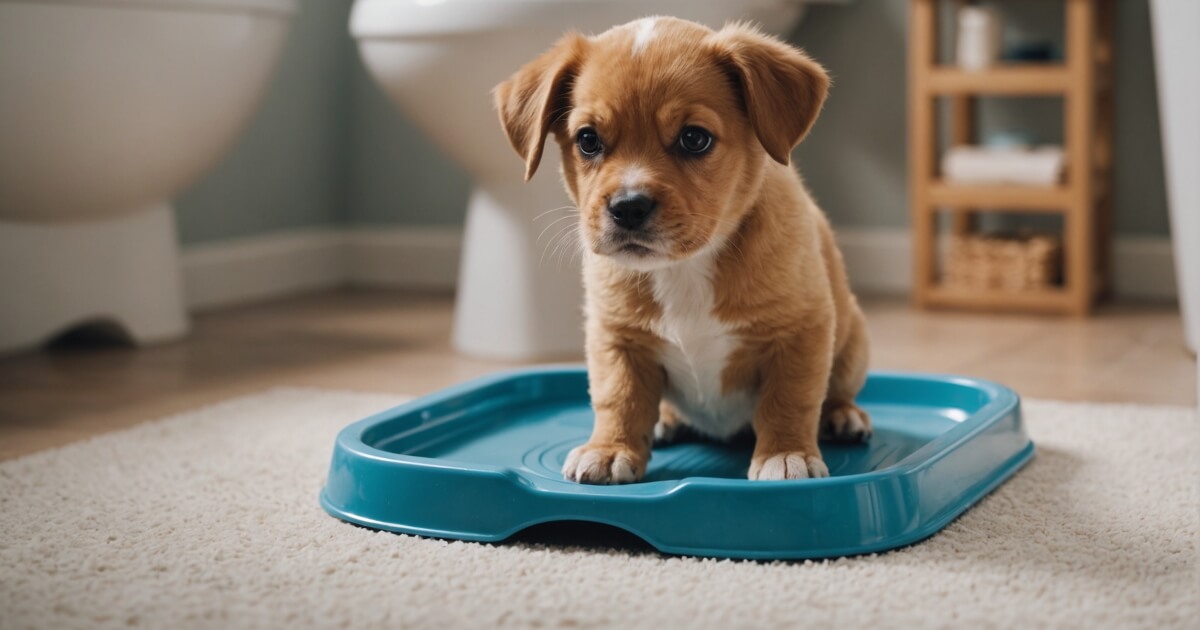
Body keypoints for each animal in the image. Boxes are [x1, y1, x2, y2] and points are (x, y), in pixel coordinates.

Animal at [492, 18, 868, 482]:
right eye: (588, 140)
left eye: (694, 138)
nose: (628, 207)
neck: (684, 268)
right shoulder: (616, 337)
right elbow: (619, 398)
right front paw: (609, 449)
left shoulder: (800, 330)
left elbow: (790, 399)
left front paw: (785, 454)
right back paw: (666, 421)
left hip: (853, 343)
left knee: (836, 392)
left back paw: (843, 415)